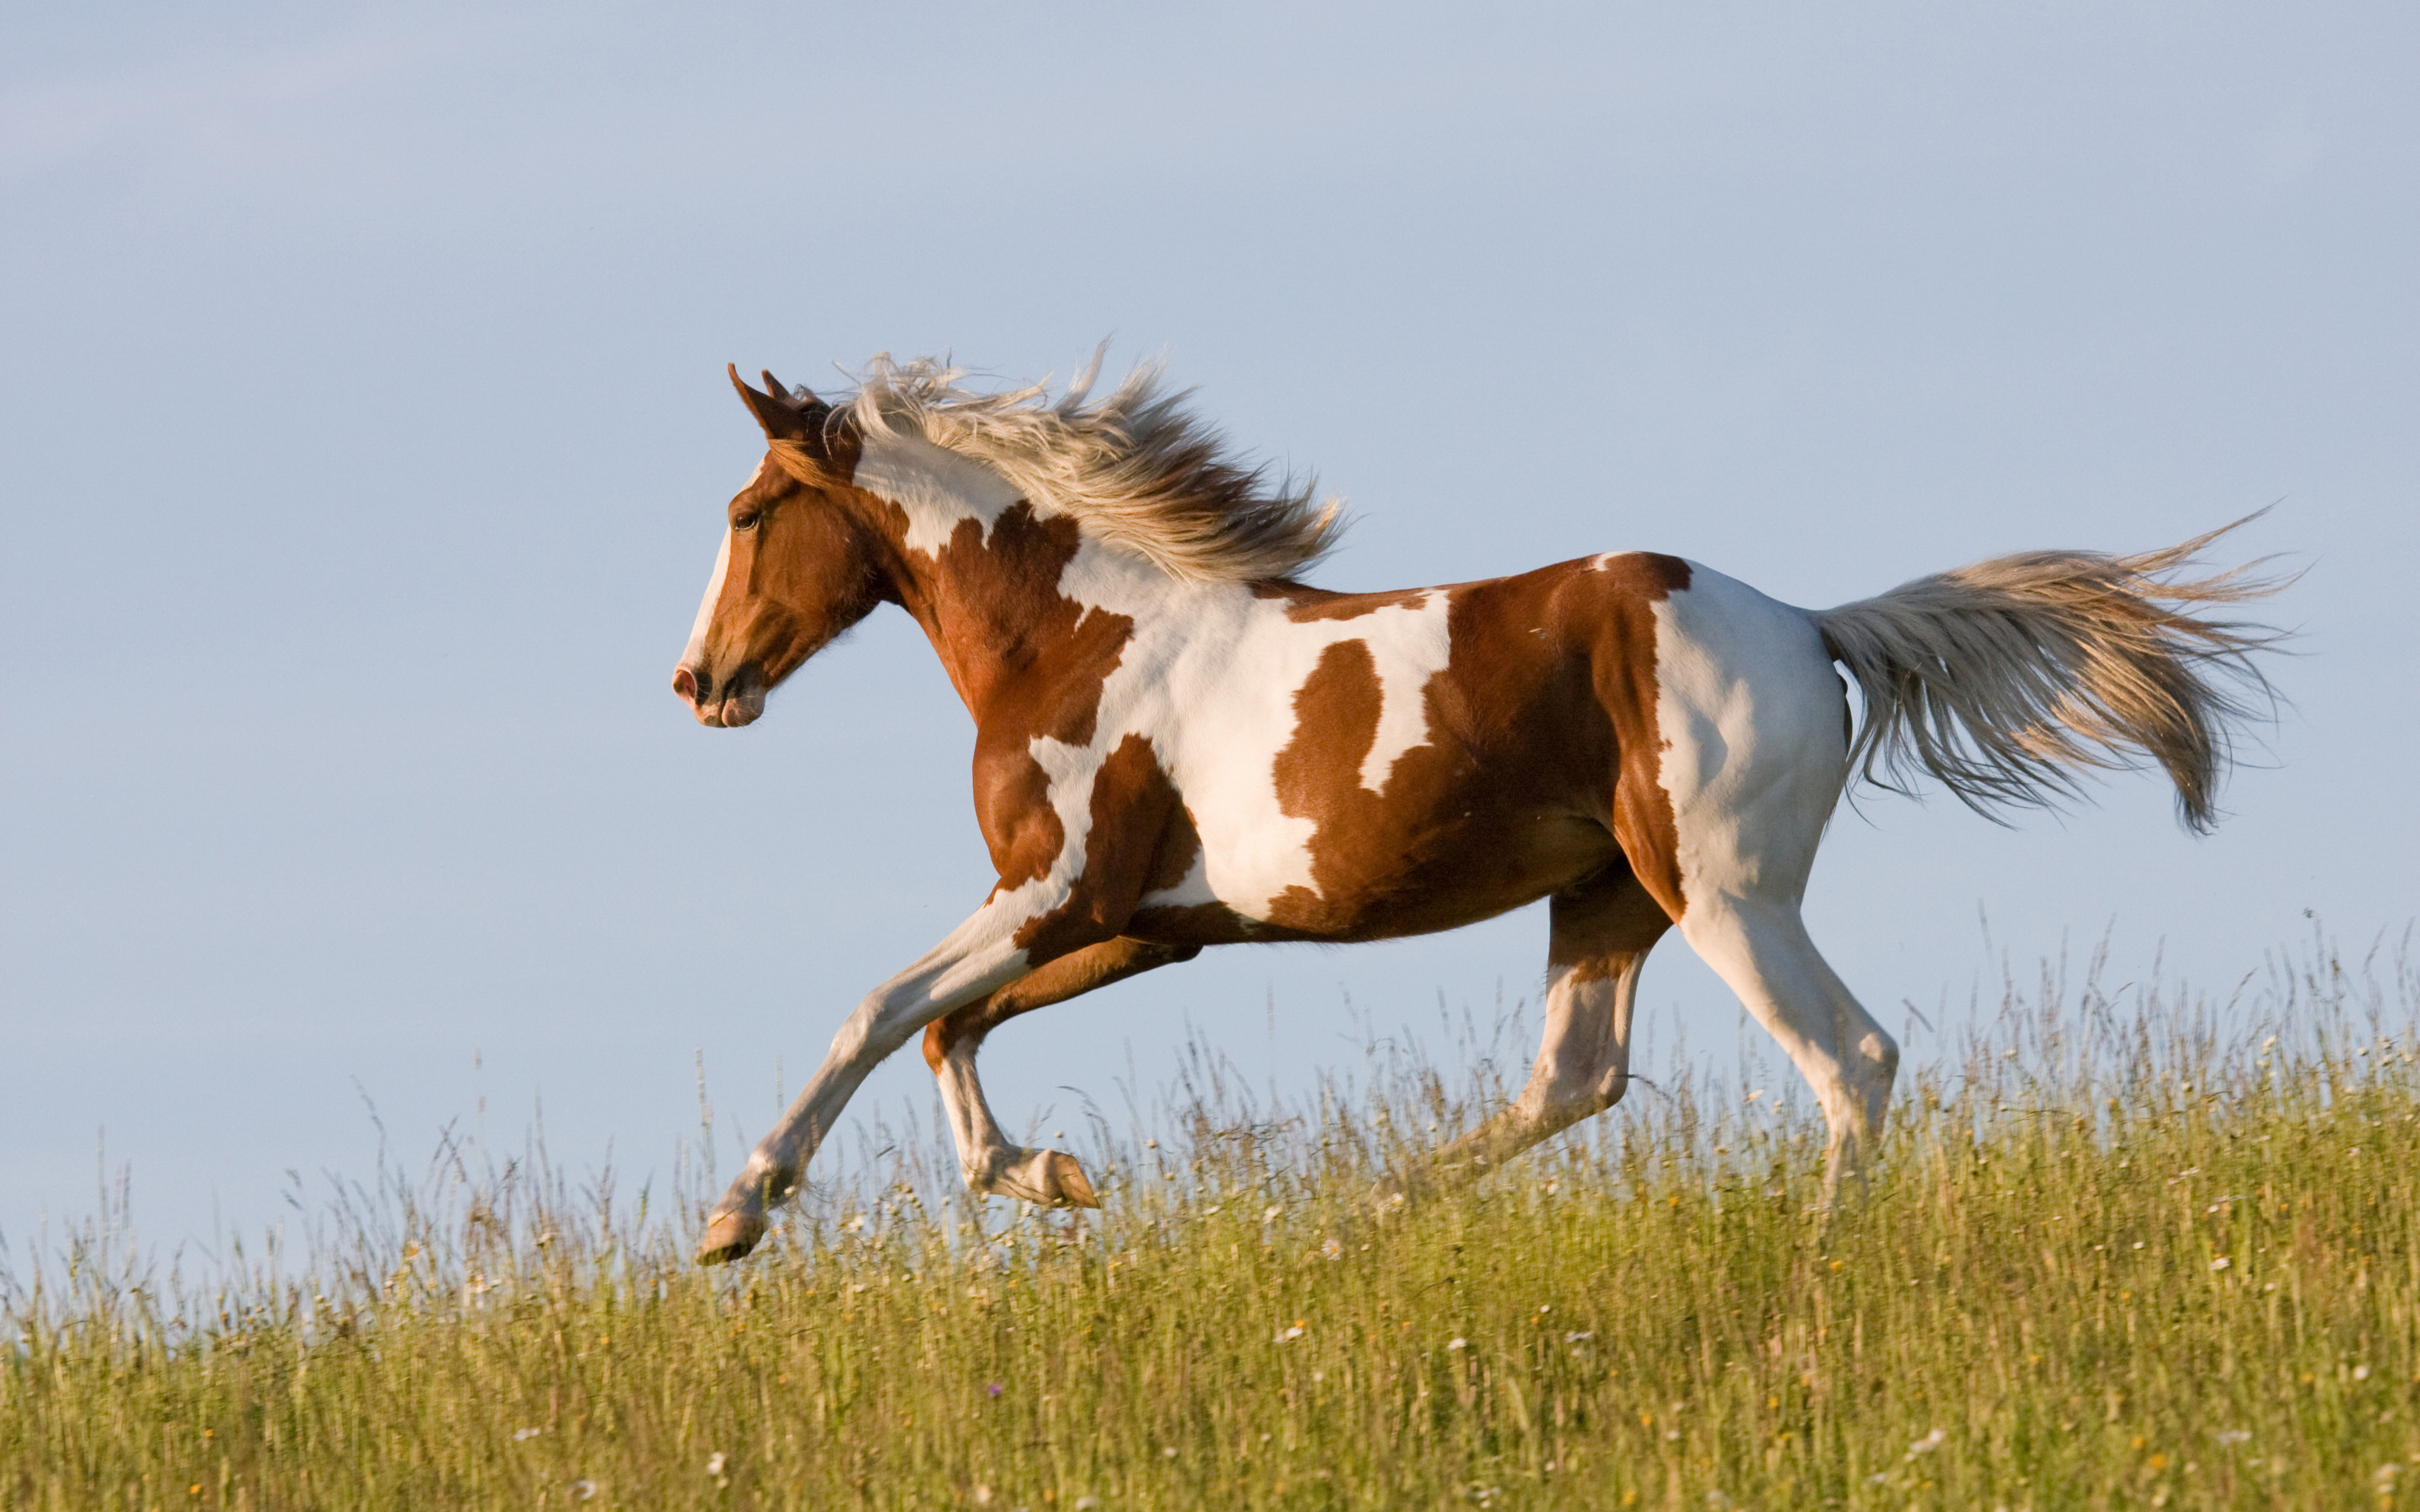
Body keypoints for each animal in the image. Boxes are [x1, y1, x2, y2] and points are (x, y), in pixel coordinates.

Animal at [672, 353, 2275, 1257]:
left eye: (749, 513)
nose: (698, 681)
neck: (1084, 637)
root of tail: (1813, 627)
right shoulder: (1144, 924)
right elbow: (951, 1027)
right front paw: (1057, 1179)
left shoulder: (1055, 891)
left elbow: (878, 1010)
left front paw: (739, 1215)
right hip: (1607, 896)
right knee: (1575, 1080)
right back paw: (1348, 1223)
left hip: (1725, 893)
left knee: (1853, 1059)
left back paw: (1823, 1264)